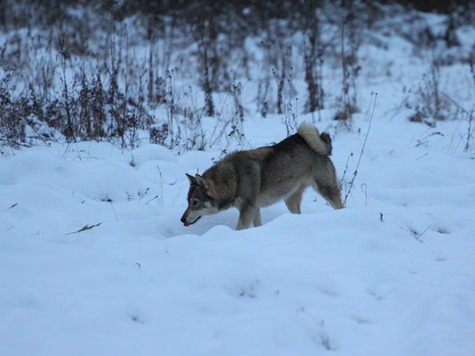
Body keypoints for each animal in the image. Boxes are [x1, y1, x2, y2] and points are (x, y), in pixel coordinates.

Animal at [181, 121, 342, 231]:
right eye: (187, 201)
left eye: (195, 202)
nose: (182, 219)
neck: (234, 178)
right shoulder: (255, 209)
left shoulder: (248, 209)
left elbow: (239, 229)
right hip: (290, 201)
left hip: (326, 191)